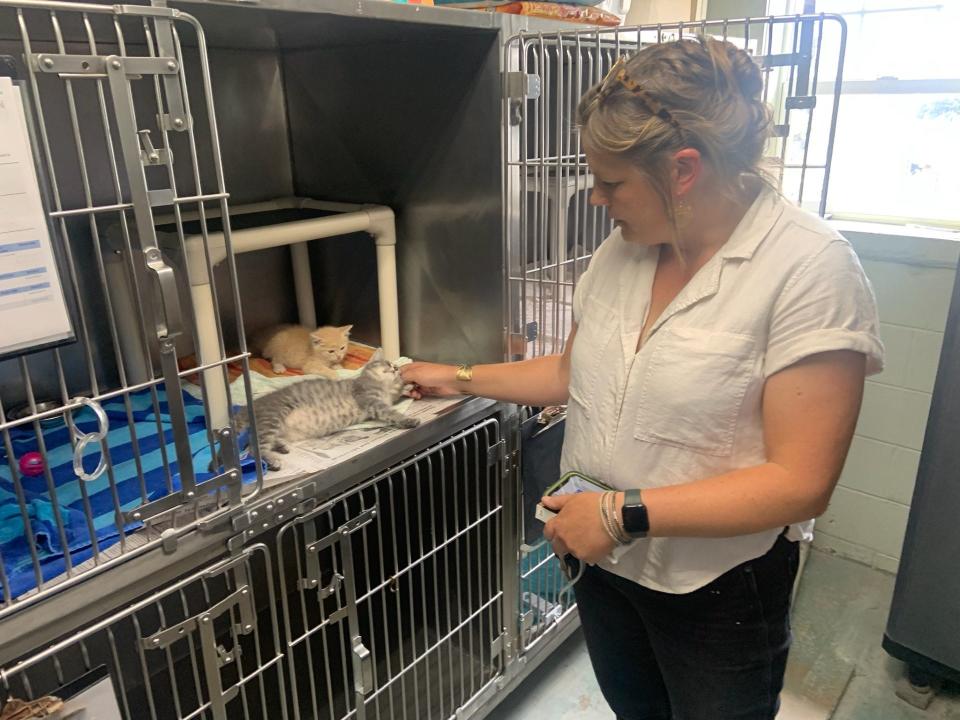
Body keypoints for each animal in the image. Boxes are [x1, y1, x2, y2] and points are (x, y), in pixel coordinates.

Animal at [235, 350, 416, 472]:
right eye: (388, 364)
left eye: (397, 368)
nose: (396, 368)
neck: (382, 386)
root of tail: (251, 406)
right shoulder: (371, 400)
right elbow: (390, 412)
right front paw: (408, 419)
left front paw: (407, 389)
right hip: (272, 418)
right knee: (255, 449)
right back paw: (273, 461)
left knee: (254, 443)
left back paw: (281, 446)